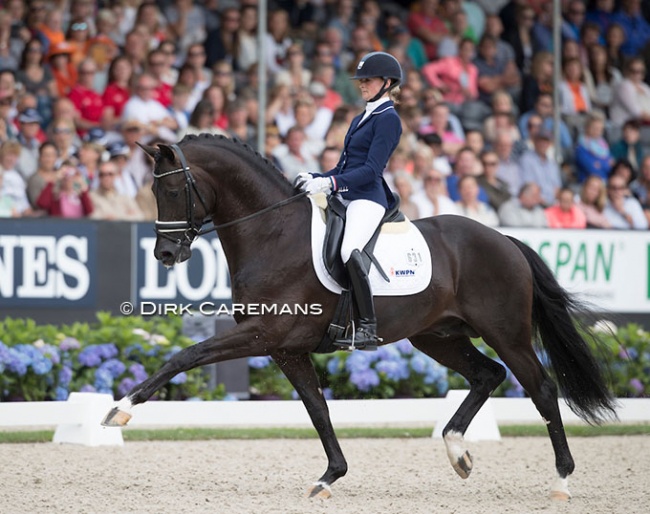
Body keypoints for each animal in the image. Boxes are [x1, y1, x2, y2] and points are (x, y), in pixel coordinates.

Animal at [101, 134, 612, 498]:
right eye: (152, 189)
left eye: (172, 189)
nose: (166, 254)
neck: (271, 232)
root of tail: (505, 239)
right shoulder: (285, 348)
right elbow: (317, 408)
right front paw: (330, 476)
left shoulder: (262, 333)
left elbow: (185, 355)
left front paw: (120, 409)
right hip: (438, 336)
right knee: (488, 375)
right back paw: (457, 451)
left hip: (506, 332)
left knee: (541, 388)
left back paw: (561, 481)